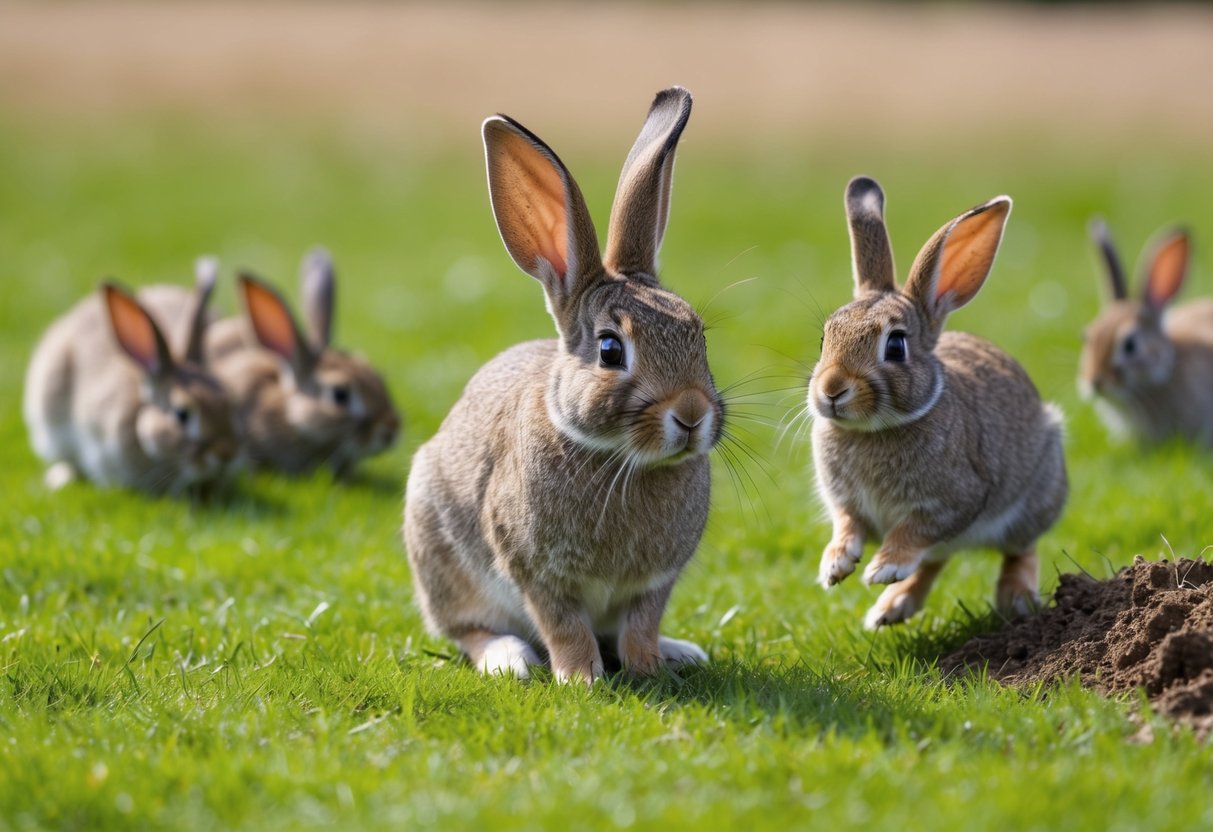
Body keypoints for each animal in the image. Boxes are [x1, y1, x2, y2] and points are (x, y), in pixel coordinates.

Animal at [404, 87, 722, 684]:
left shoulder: (654, 582)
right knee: (468, 630)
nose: (692, 414)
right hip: (440, 554)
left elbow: (640, 625)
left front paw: (649, 667)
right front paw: (581, 678)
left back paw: (681, 651)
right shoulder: (537, 573)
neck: (620, 458)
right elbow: (564, 626)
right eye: (610, 350)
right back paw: (508, 660)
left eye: (700, 337)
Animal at [808, 176, 1068, 630]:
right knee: (935, 563)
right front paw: (836, 566)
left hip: (1033, 498)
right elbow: (846, 526)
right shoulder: (845, 503)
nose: (832, 389)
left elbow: (914, 534)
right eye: (825, 339)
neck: (874, 430)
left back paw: (1015, 598)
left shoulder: (953, 501)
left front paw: (883, 567)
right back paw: (890, 609)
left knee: (1019, 549)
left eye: (895, 346)